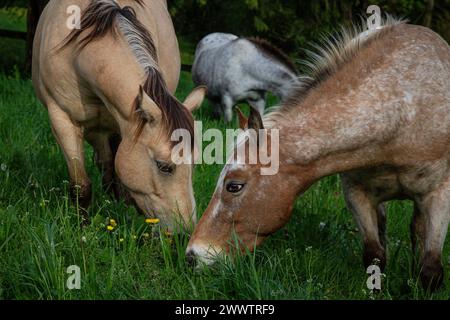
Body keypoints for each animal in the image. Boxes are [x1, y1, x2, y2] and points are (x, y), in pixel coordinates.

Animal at [186, 18, 450, 292]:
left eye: (234, 186)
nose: (193, 256)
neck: (403, 108)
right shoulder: (356, 194)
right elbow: (374, 255)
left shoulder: (440, 194)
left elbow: (430, 269)